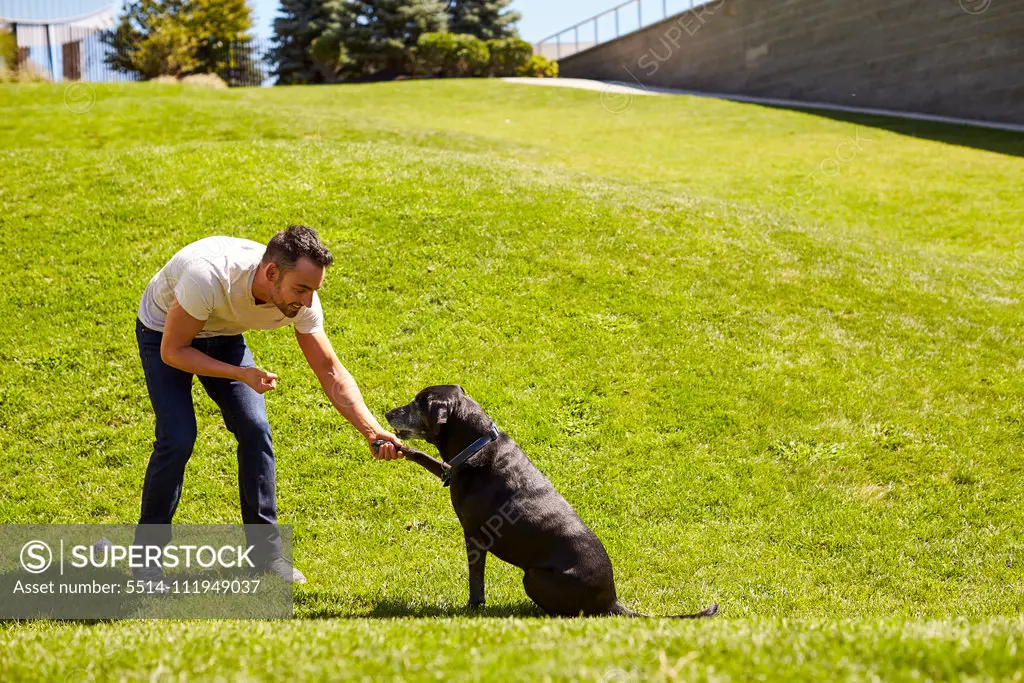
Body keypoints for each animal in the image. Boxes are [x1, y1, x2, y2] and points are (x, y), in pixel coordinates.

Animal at [378, 385, 720, 618]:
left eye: (417, 404)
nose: (387, 413)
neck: (478, 445)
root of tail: (611, 599)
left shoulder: (474, 537)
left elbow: (476, 582)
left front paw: (472, 608)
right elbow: (423, 456)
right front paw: (389, 444)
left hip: (534, 576)